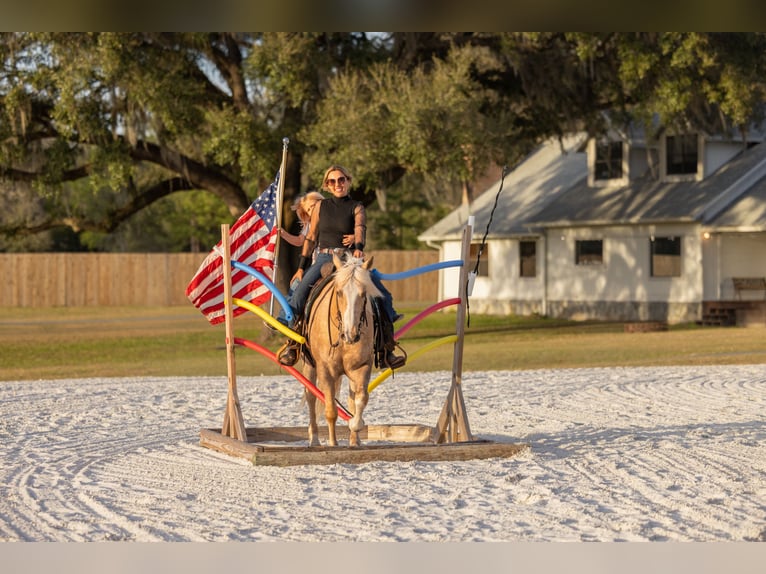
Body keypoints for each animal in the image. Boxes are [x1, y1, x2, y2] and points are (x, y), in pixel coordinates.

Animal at [301, 253, 381, 447]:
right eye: (338, 292)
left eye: (363, 294)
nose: (350, 334)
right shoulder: (326, 370)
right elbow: (331, 410)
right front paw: (333, 443)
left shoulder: (362, 367)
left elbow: (360, 399)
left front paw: (355, 426)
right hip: (309, 365)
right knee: (311, 397)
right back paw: (314, 439)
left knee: (351, 399)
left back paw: (355, 441)